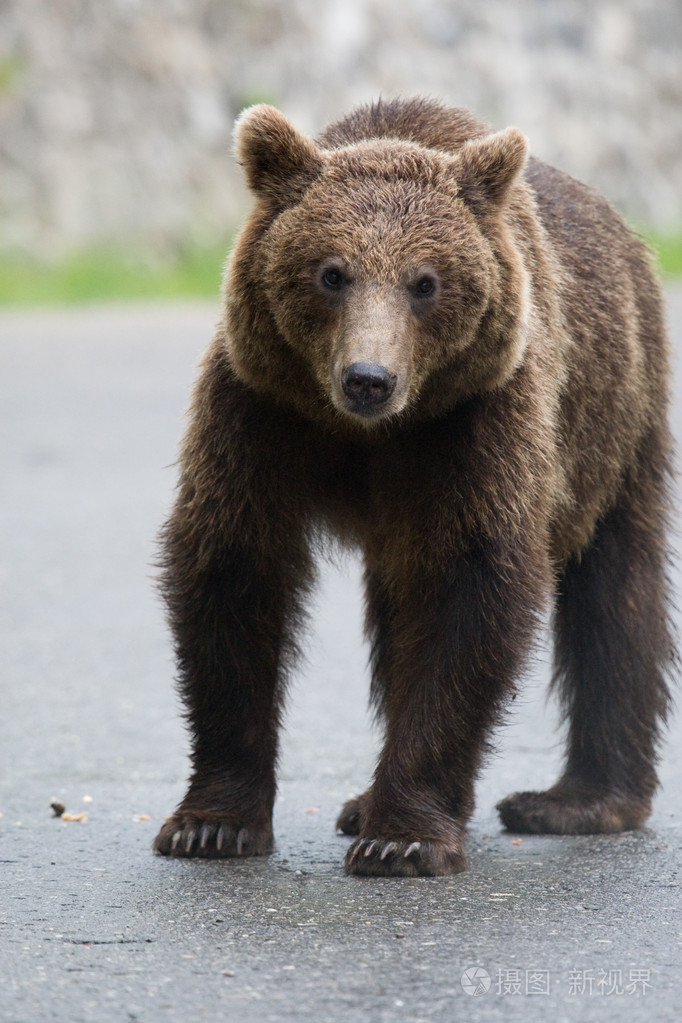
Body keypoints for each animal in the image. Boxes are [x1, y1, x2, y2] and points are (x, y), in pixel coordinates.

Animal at [153, 99, 670, 875]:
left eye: (424, 281)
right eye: (332, 273)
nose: (369, 377)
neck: (368, 436)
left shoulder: (475, 426)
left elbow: (468, 594)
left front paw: (404, 836)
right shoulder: (261, 413)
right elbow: (235, 570)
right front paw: (211, 824)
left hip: (613, 423)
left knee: (615, 596)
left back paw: (579, 799)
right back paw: (366, 801)